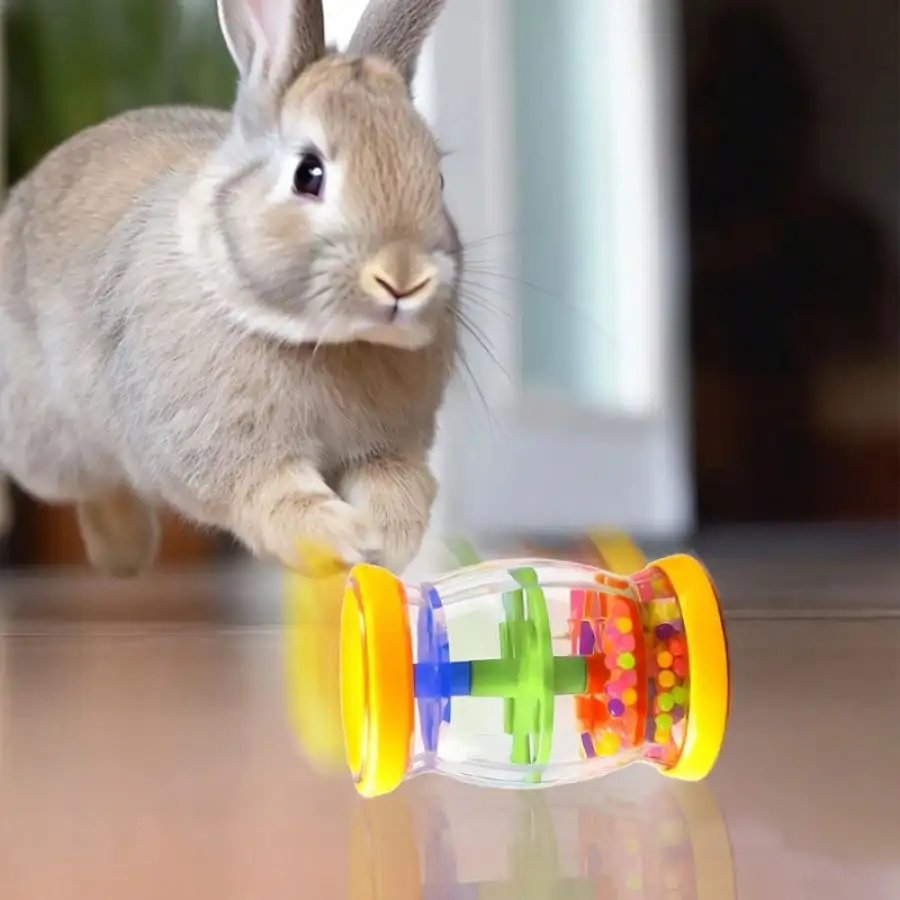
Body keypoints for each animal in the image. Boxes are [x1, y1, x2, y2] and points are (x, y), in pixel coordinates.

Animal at [0, 0, 460, 577]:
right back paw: (116, 552)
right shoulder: (230, 452)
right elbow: (275, 496)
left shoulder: (390, 447)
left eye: (438, 180)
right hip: (51, 452)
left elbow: (396, 485)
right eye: (308, 174)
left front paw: (386, 540)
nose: (403, 278)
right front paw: (341, 537)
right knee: (94, 487)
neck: (325, 341)